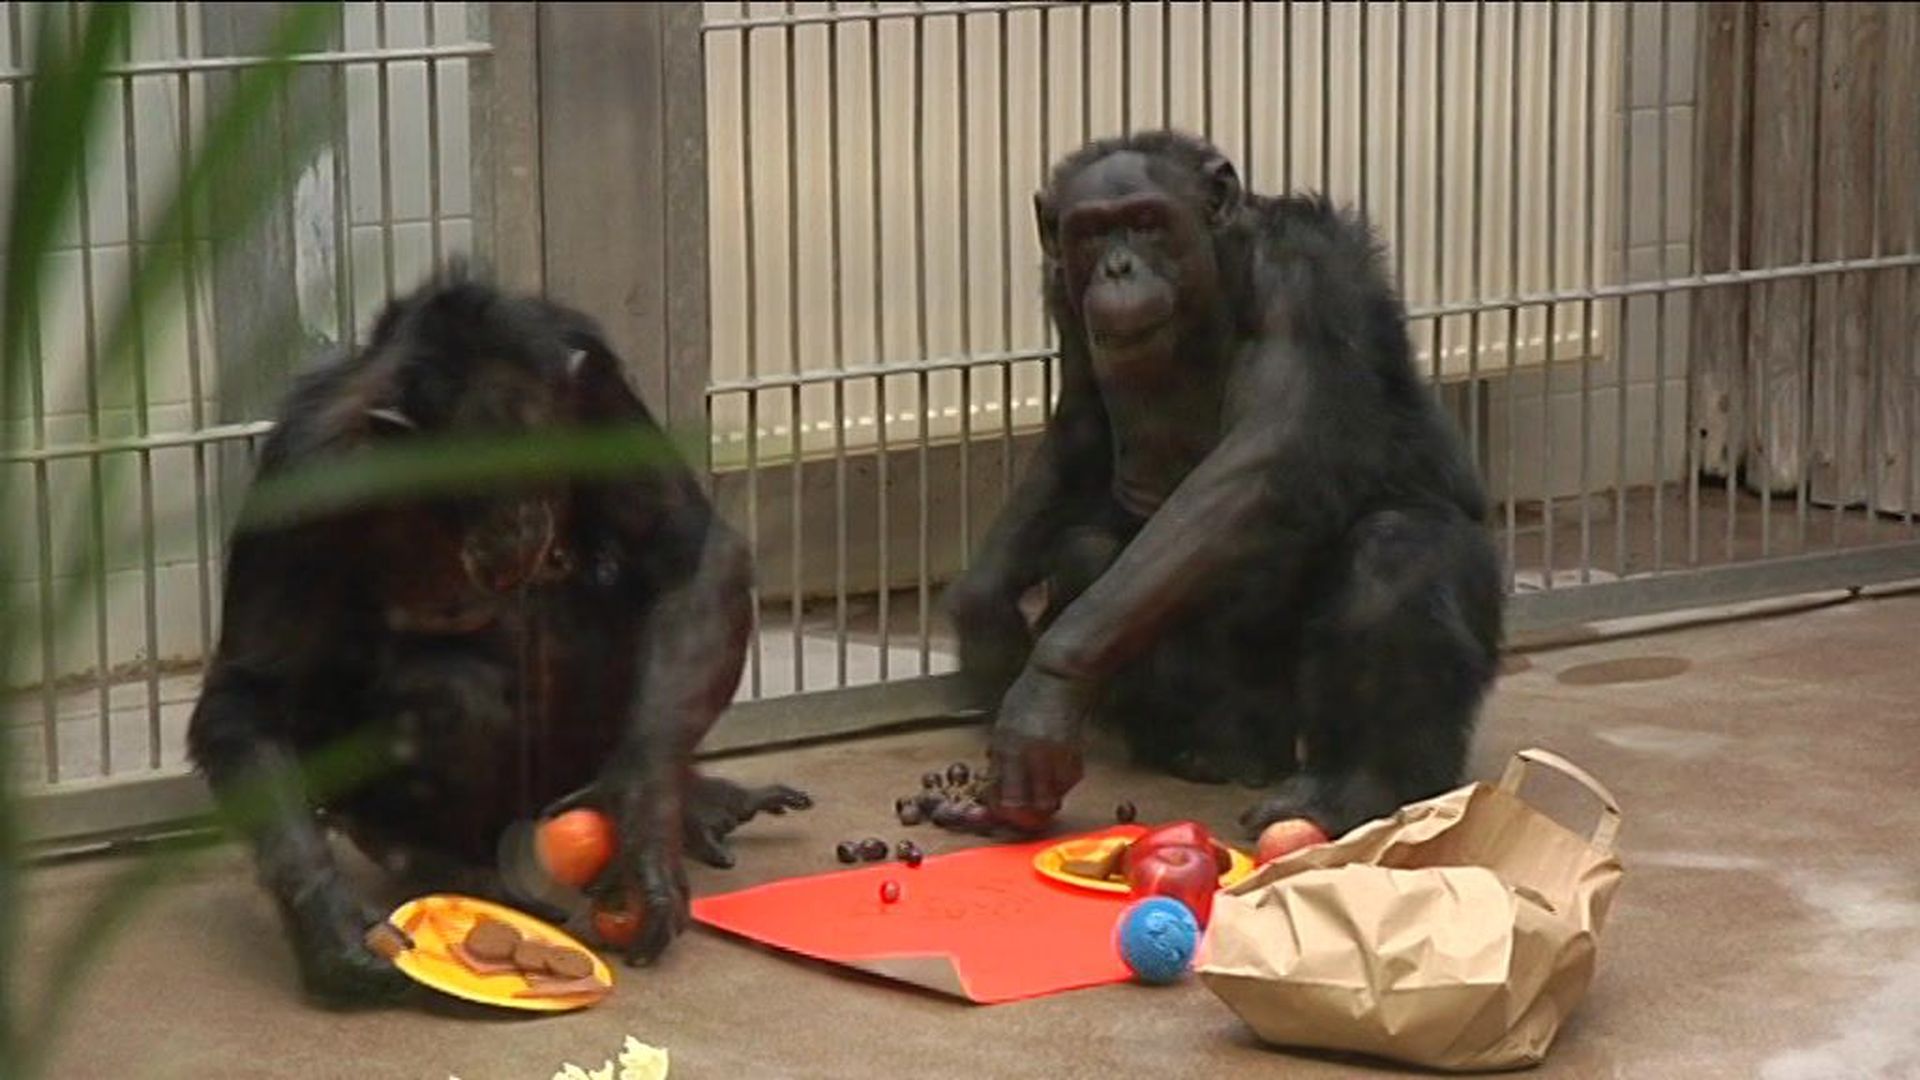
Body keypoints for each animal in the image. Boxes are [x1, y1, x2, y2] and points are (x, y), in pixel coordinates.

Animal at [183, 267, 806, 999]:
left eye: (537, 459)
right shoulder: (308, 466)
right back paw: (447, 864)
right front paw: (332, 928)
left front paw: (643, 822)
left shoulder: (598, 390)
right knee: (448, 691)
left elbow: (683, 552)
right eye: (473, 475)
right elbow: (253, 689)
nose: (517, 520)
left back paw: (693, 804)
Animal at [952, 130, 1505, 841]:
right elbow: (1080, 422)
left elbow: (1269, 453)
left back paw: (1355, 788)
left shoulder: (1304, 277)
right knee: (1087, 550)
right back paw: (1207, 750)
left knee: (1397, 551)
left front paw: (1046, 687)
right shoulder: (1062, 295)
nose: (1119, 268)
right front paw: (984, 613)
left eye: (1148, 222)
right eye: (1092, 232)